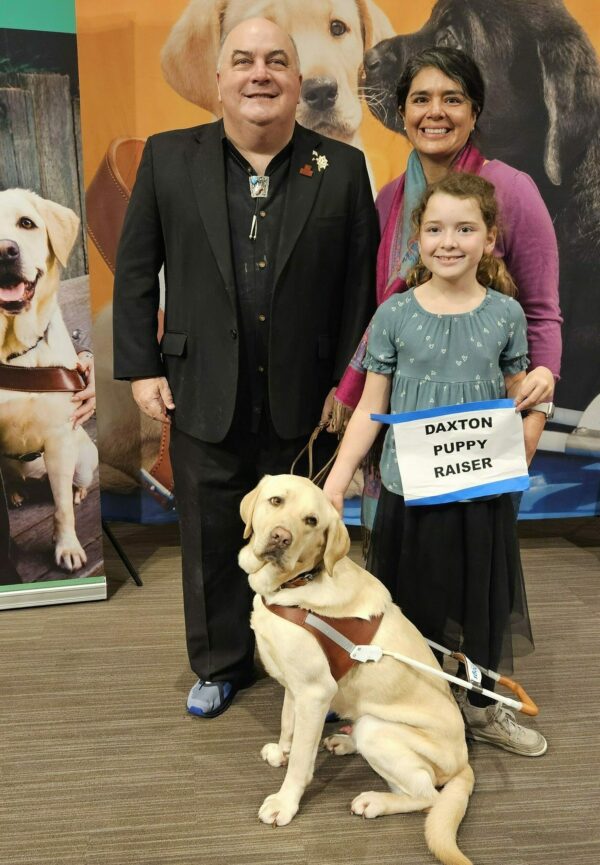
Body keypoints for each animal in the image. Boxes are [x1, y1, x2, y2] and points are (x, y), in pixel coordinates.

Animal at [0, 186, 97, 572]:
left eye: (26, 223)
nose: (5, 251)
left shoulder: (58, 439)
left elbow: (62, 510)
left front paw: (66, 547)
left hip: (85, 459)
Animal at [240, 472, 478, 864]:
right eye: (276, 501)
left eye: (311, 521)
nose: (280, 537)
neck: (293, 585)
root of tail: (464, 763)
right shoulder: (295, 686)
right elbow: (289, 725)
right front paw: (282, 751)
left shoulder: (315, 692)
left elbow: (301, 761)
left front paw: (285, 803)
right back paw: (343, 743)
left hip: (379, 731)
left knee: (428, 796)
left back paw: (375, 802)